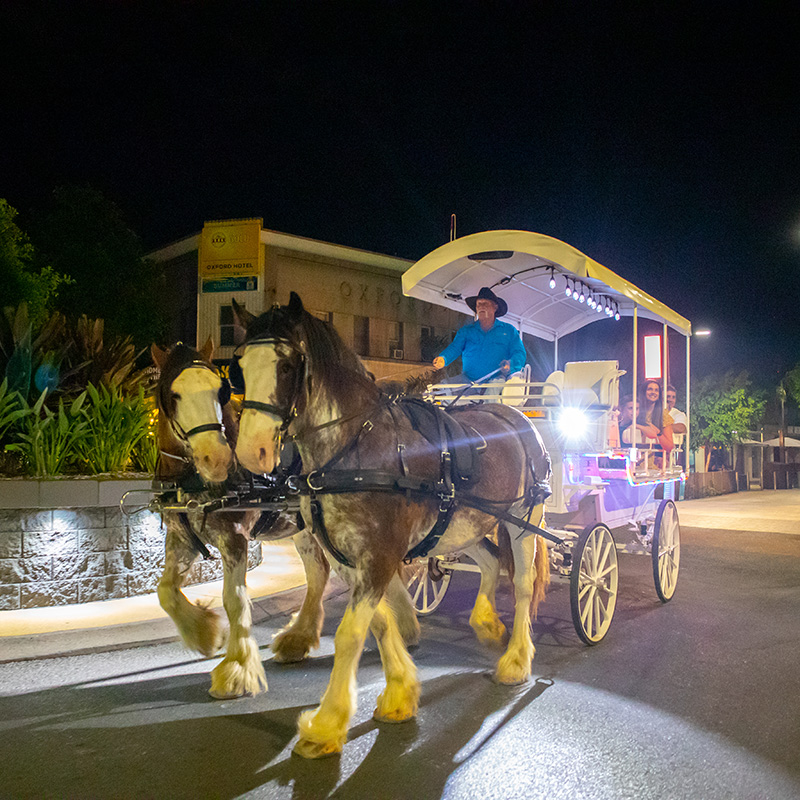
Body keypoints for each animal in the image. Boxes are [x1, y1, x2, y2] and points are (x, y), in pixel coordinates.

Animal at [152, 340, 332, 696]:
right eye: (172, 394)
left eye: (221, 390)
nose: (216, 458)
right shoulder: (181, 538)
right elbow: (166, 591)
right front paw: (205, 635)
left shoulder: (235, 537)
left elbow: (234, 599)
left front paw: (237, 669)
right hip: (303, 528)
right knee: (319, 570)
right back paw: (298, 638)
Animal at [228, 296, 548, 760]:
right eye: (238, 367)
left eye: (287, 366)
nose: (253, 451)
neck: (354, 449)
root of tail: (514, 413)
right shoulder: (349, 560)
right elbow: (378, 624)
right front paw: (400, 692)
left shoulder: (378, 556)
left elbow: (349, 633)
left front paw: (326, 724)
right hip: (465, 523)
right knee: (489, 562)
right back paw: (488, 624)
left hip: (525, 521)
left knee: (522, 583)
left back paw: (516, 661)